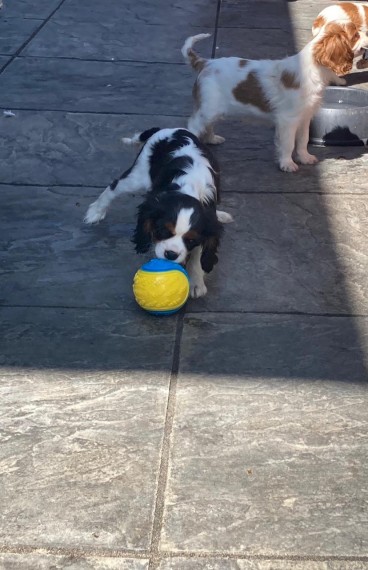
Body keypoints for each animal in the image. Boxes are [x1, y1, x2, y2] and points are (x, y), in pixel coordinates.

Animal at [85, 127, 231, 298]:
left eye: (190, 240)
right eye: (162, 231)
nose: (171, 255)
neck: (189, 187)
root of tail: (169, 129)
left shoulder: (205, 225)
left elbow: (198, 253)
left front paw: (196, 282)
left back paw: (221, 215)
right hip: (137, 176)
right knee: (114, 188)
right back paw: (95, 211)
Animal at [181, 25, 368, 171]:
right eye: (355, 35)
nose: (366, 40)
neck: (314, 69)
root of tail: (206, 63)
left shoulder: (305, 117)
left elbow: (303, 140)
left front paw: (304, 157)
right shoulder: (288, 120)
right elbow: (288, 143)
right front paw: (287, 164)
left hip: (213, 109)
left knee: (208, 125)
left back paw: (212, 139)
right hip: (208, 108)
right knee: (194, 125)